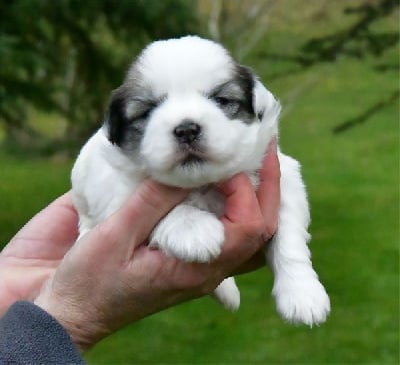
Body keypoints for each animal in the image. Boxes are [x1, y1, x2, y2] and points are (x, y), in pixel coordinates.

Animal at [72, 34, 332, 324]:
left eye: (221, 100)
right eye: (147, 111)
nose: (186, 129)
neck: (202, 182)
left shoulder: (283, 178)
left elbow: (289, 237)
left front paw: (302, 294)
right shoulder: (118, 197)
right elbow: (162, 210)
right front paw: (194, 230)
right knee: (85, 222)